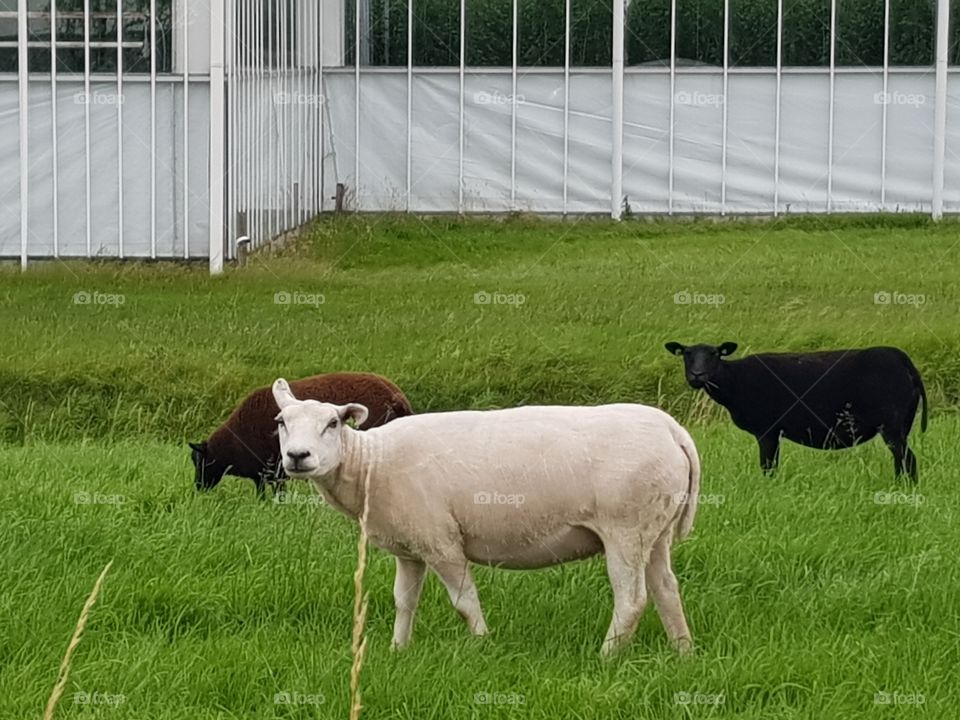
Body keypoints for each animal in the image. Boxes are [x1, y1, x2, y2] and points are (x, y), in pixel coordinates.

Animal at [270, 378, 701, 657]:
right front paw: (398, 650)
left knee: (632, 598)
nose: (297, 457)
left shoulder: (440, 542)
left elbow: (465, 601)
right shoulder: (410, 548)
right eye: (281, 423)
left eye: (333, 423)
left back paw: (606, 656)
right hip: (654, 530)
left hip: (625, 528)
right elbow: (404, 602)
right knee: (666, 588)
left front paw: (481, 645)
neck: (370, 463)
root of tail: (674, 430)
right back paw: (684, 652)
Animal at [664, 342, 927, 480]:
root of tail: (904, 361)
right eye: (686, 354)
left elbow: (768, 467)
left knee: (907, 459)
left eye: (714, 354)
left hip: (892, 424)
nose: (697, 375)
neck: (735, 380)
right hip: (902, 424)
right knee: (903, 460)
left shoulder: (767, 430)